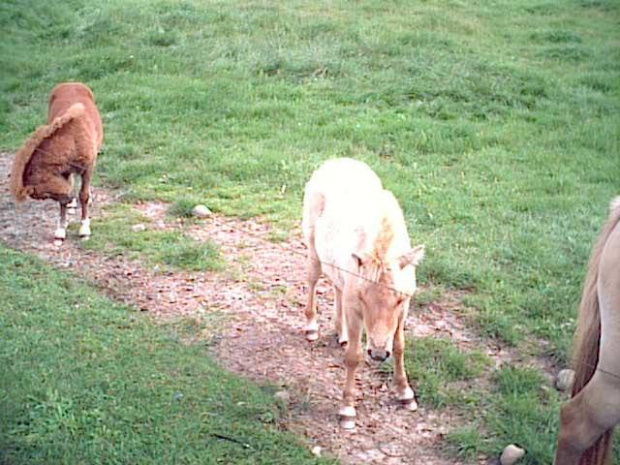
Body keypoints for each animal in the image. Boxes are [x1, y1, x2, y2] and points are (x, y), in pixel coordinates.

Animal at [10, 82, 103, 241]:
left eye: (44, 195)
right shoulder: (63, 171)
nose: (69, 198)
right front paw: (61, 229)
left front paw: (84, 228)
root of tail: (72, 83)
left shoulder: (88, 167)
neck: (72, 138)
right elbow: (64, 199)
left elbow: (83, 195)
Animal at [302, 159, 426, 428]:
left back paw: (341, 334)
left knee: (337, 286)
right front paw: (347, 410)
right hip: (313, 247)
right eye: (364, 298)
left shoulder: (404, 308)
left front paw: (406, 394)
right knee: (313, 279)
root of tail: (336, 160)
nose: (378, 354)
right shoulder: (354, 303)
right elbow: (354, 356)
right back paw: (312, 327)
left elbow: (399, 345)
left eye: (399, 299)